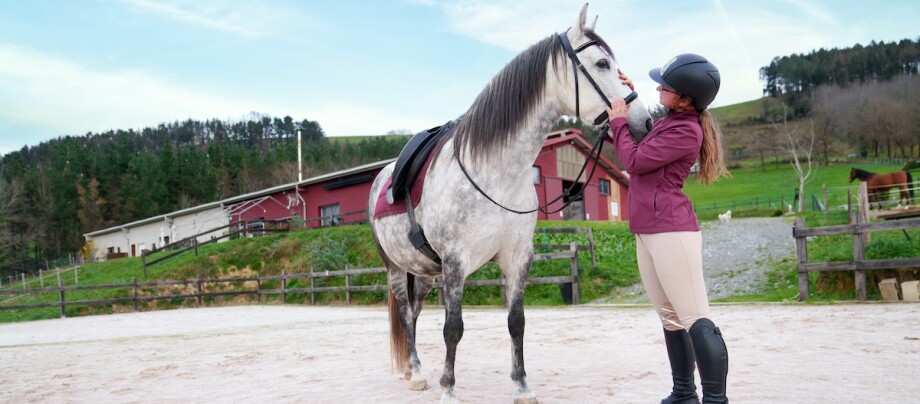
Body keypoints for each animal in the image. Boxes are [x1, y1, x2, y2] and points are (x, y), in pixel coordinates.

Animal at [367, 4, 652, 403]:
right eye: (601, 64)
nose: (645, 122)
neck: (495, 172)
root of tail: (382, 176)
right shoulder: (455, 262)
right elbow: (453, 327)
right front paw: (448, 389)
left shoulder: (518, 257)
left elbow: (516, 322)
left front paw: (521, 386)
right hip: (395, 268)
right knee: (407, 315)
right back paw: (420, 375)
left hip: (423, 272)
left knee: (416, 312)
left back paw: (413, 368)